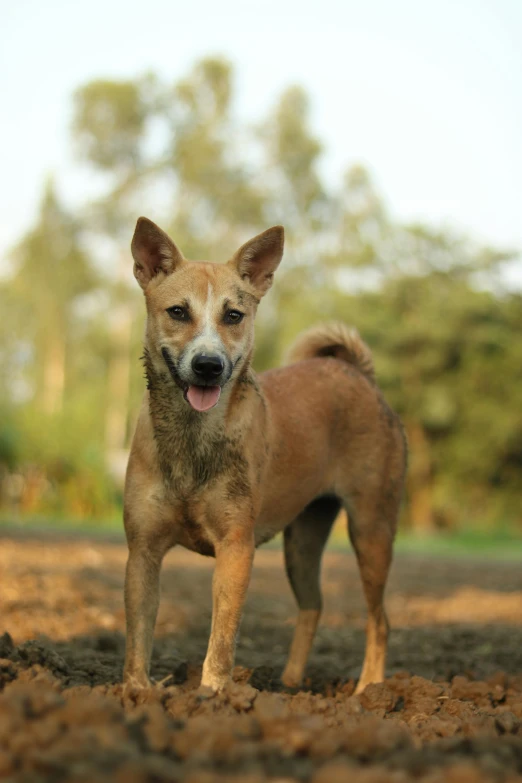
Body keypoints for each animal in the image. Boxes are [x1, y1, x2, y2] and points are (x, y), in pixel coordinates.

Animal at [123, 217, 406, 696]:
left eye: (233, 315)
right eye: (177, 312)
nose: (209, 365)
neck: (193, 439)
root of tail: (359, 375)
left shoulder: (236, 548)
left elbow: (222, 636)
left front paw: (213, 695)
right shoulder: (142, 550)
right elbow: (139, 633)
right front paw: (134, 693)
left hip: (372, 530)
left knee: (380, 620)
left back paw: (369, 689)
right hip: (302, 540)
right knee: (313, 605)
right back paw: (290, 683)